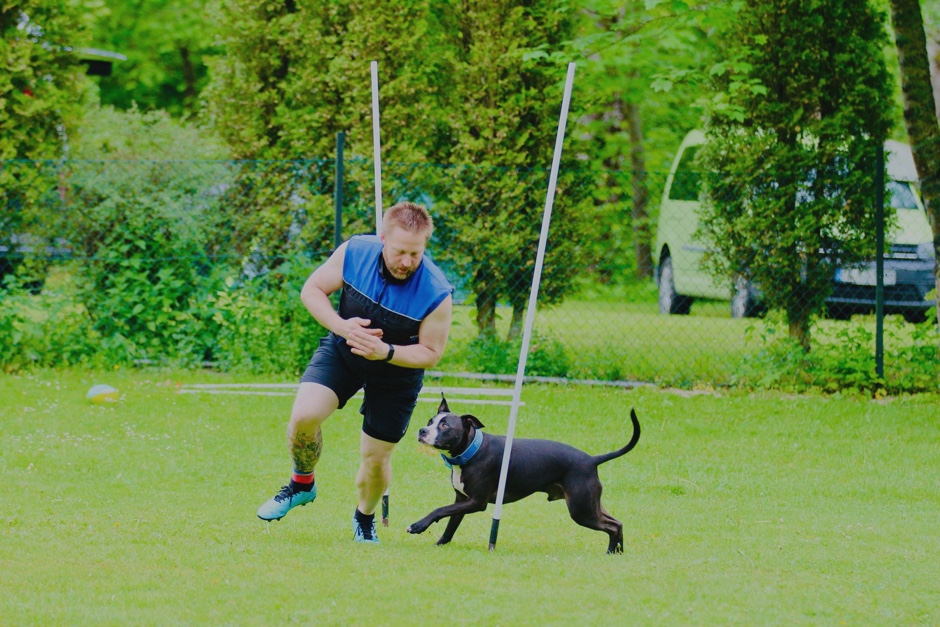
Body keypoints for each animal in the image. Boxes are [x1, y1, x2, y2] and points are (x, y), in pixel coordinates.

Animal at [406, 396, 641, 554]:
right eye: (430, 421)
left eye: (445, 425)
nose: (422, 430)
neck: (470, 450)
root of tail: (592, 459)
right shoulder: (461, 499)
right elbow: (450, 524)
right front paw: (439, 545)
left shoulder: (476, 502)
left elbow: (440, 510)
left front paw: (418, 526)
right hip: (590, 505)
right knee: (617, 524)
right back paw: (617, 552)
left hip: (581, 510)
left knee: (611, 526)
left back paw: (611, 552)